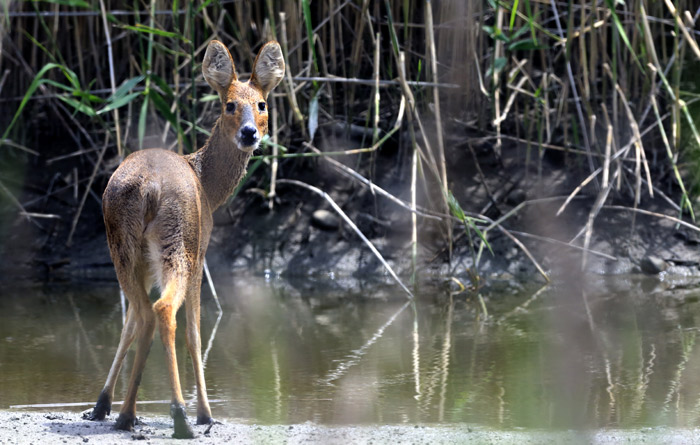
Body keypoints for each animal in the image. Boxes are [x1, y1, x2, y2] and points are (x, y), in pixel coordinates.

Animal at [85, 40, 284, 436]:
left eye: (262, 104)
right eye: (229, 104)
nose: (249, 133)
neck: (208, 186)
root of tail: (148, 186)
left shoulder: (144, 262)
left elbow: (128, 325)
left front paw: (101, 404)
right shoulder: (202, 252)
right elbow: (195, 331)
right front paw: (206, 413)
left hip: (122, 245)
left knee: (141, 313)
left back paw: (125, 413)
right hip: (180, 243)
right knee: (163, 310)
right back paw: (180, 415)